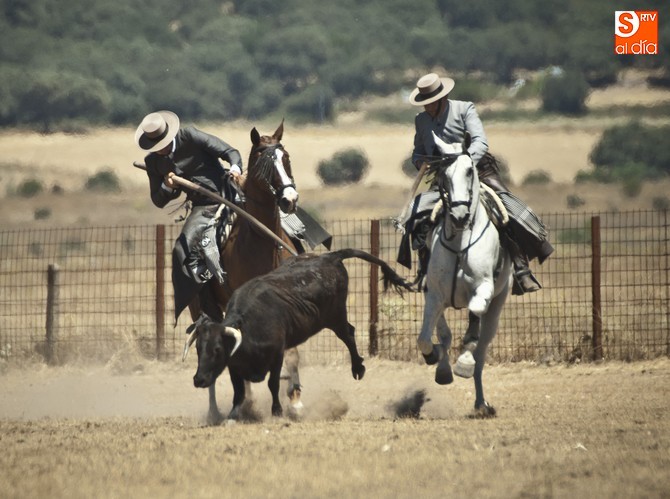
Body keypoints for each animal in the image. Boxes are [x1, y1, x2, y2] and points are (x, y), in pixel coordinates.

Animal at [191, 121, 303, 423]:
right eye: (263, 164)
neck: (262, 241)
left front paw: (295, 400)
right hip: (203, 310)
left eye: (287, 159)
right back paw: (220, 409)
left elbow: (291, 351)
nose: (289, 199)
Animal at [417, 132, 512, 418]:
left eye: (470, 170)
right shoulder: (434, 295)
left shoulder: (483, 289)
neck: (460, 243)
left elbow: (473, 320)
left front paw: (463, 362)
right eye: (443, 174)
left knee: (481, 350)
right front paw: (436, 360)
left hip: (497, 306)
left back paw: (481, 402)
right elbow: (427, 339)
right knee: (445, 334)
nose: (459, 215)